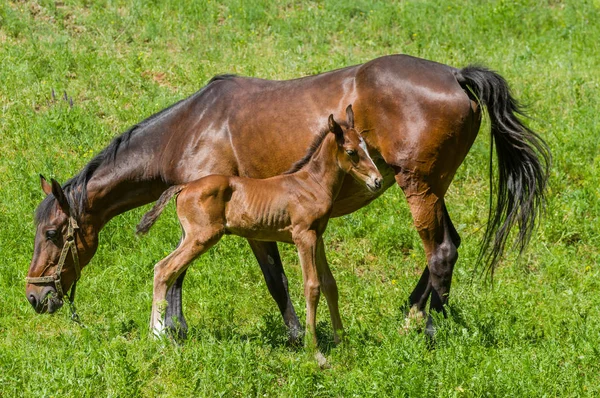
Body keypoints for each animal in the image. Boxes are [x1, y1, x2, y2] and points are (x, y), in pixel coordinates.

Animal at [137, 105, 382, 346]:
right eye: (351, 151)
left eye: (366, 146)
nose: (377, 181)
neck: (311, 184)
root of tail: (185, 186)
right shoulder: (303, 236)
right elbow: (311, 286)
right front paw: (312, 346)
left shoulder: (318, 236)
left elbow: (330, 284)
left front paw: (341, 341)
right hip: (202, 236)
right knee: (164, 269)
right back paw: (157, 336)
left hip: (194, 237)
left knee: (165, 270)